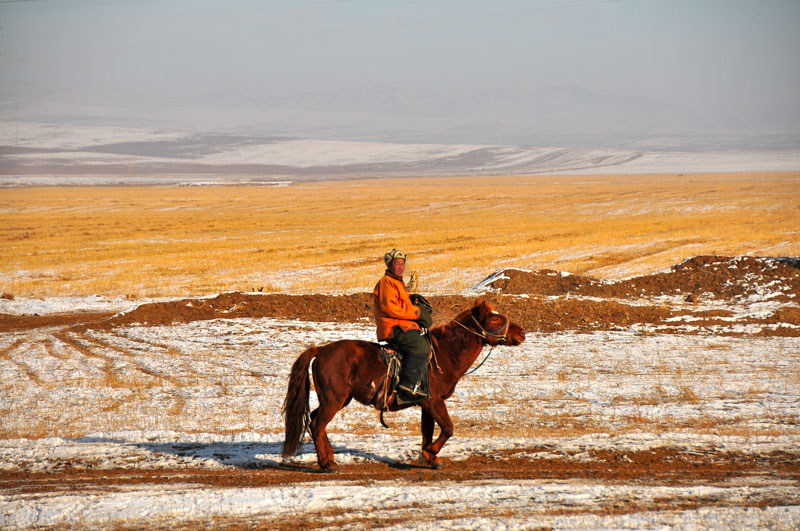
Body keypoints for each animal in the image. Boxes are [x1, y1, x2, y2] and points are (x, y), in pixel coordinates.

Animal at [282, 302, 524, 472]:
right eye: (494, 318)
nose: (521, 332)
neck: (445, 352)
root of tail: (321, 350)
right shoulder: (434, 401)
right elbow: (448, 428)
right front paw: (431, 452)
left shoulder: (426, 404)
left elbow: (428, 431)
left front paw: (430, 458)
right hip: (334, 399)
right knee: (317, 424)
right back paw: (326, 464)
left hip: (337, 399)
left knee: (316, 421)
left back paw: (330, 458)